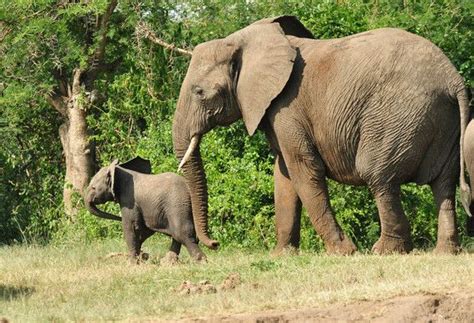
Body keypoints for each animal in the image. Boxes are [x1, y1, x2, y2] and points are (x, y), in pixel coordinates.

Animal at [172, 15, 472, 256]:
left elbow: (303, 170)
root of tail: (453, 79)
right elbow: (284, 175)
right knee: (443, 183)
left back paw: (385, 251)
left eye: (199, 92)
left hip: (398, 116)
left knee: (378, 175)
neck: (244, 40)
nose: (215, 244)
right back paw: (445, 252)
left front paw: (343, 252)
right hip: (442, 122)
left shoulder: (287, 106)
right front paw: (282, 256)